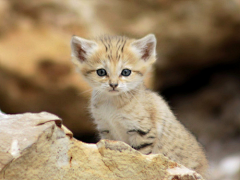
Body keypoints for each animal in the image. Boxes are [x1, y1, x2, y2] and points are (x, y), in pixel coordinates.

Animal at [70, 33, 208, 176]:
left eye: (126, 72)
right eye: (101, 72)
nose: (113, 85)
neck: (112, 103)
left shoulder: (142, 132)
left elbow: (139, 158)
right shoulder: (107, 131)